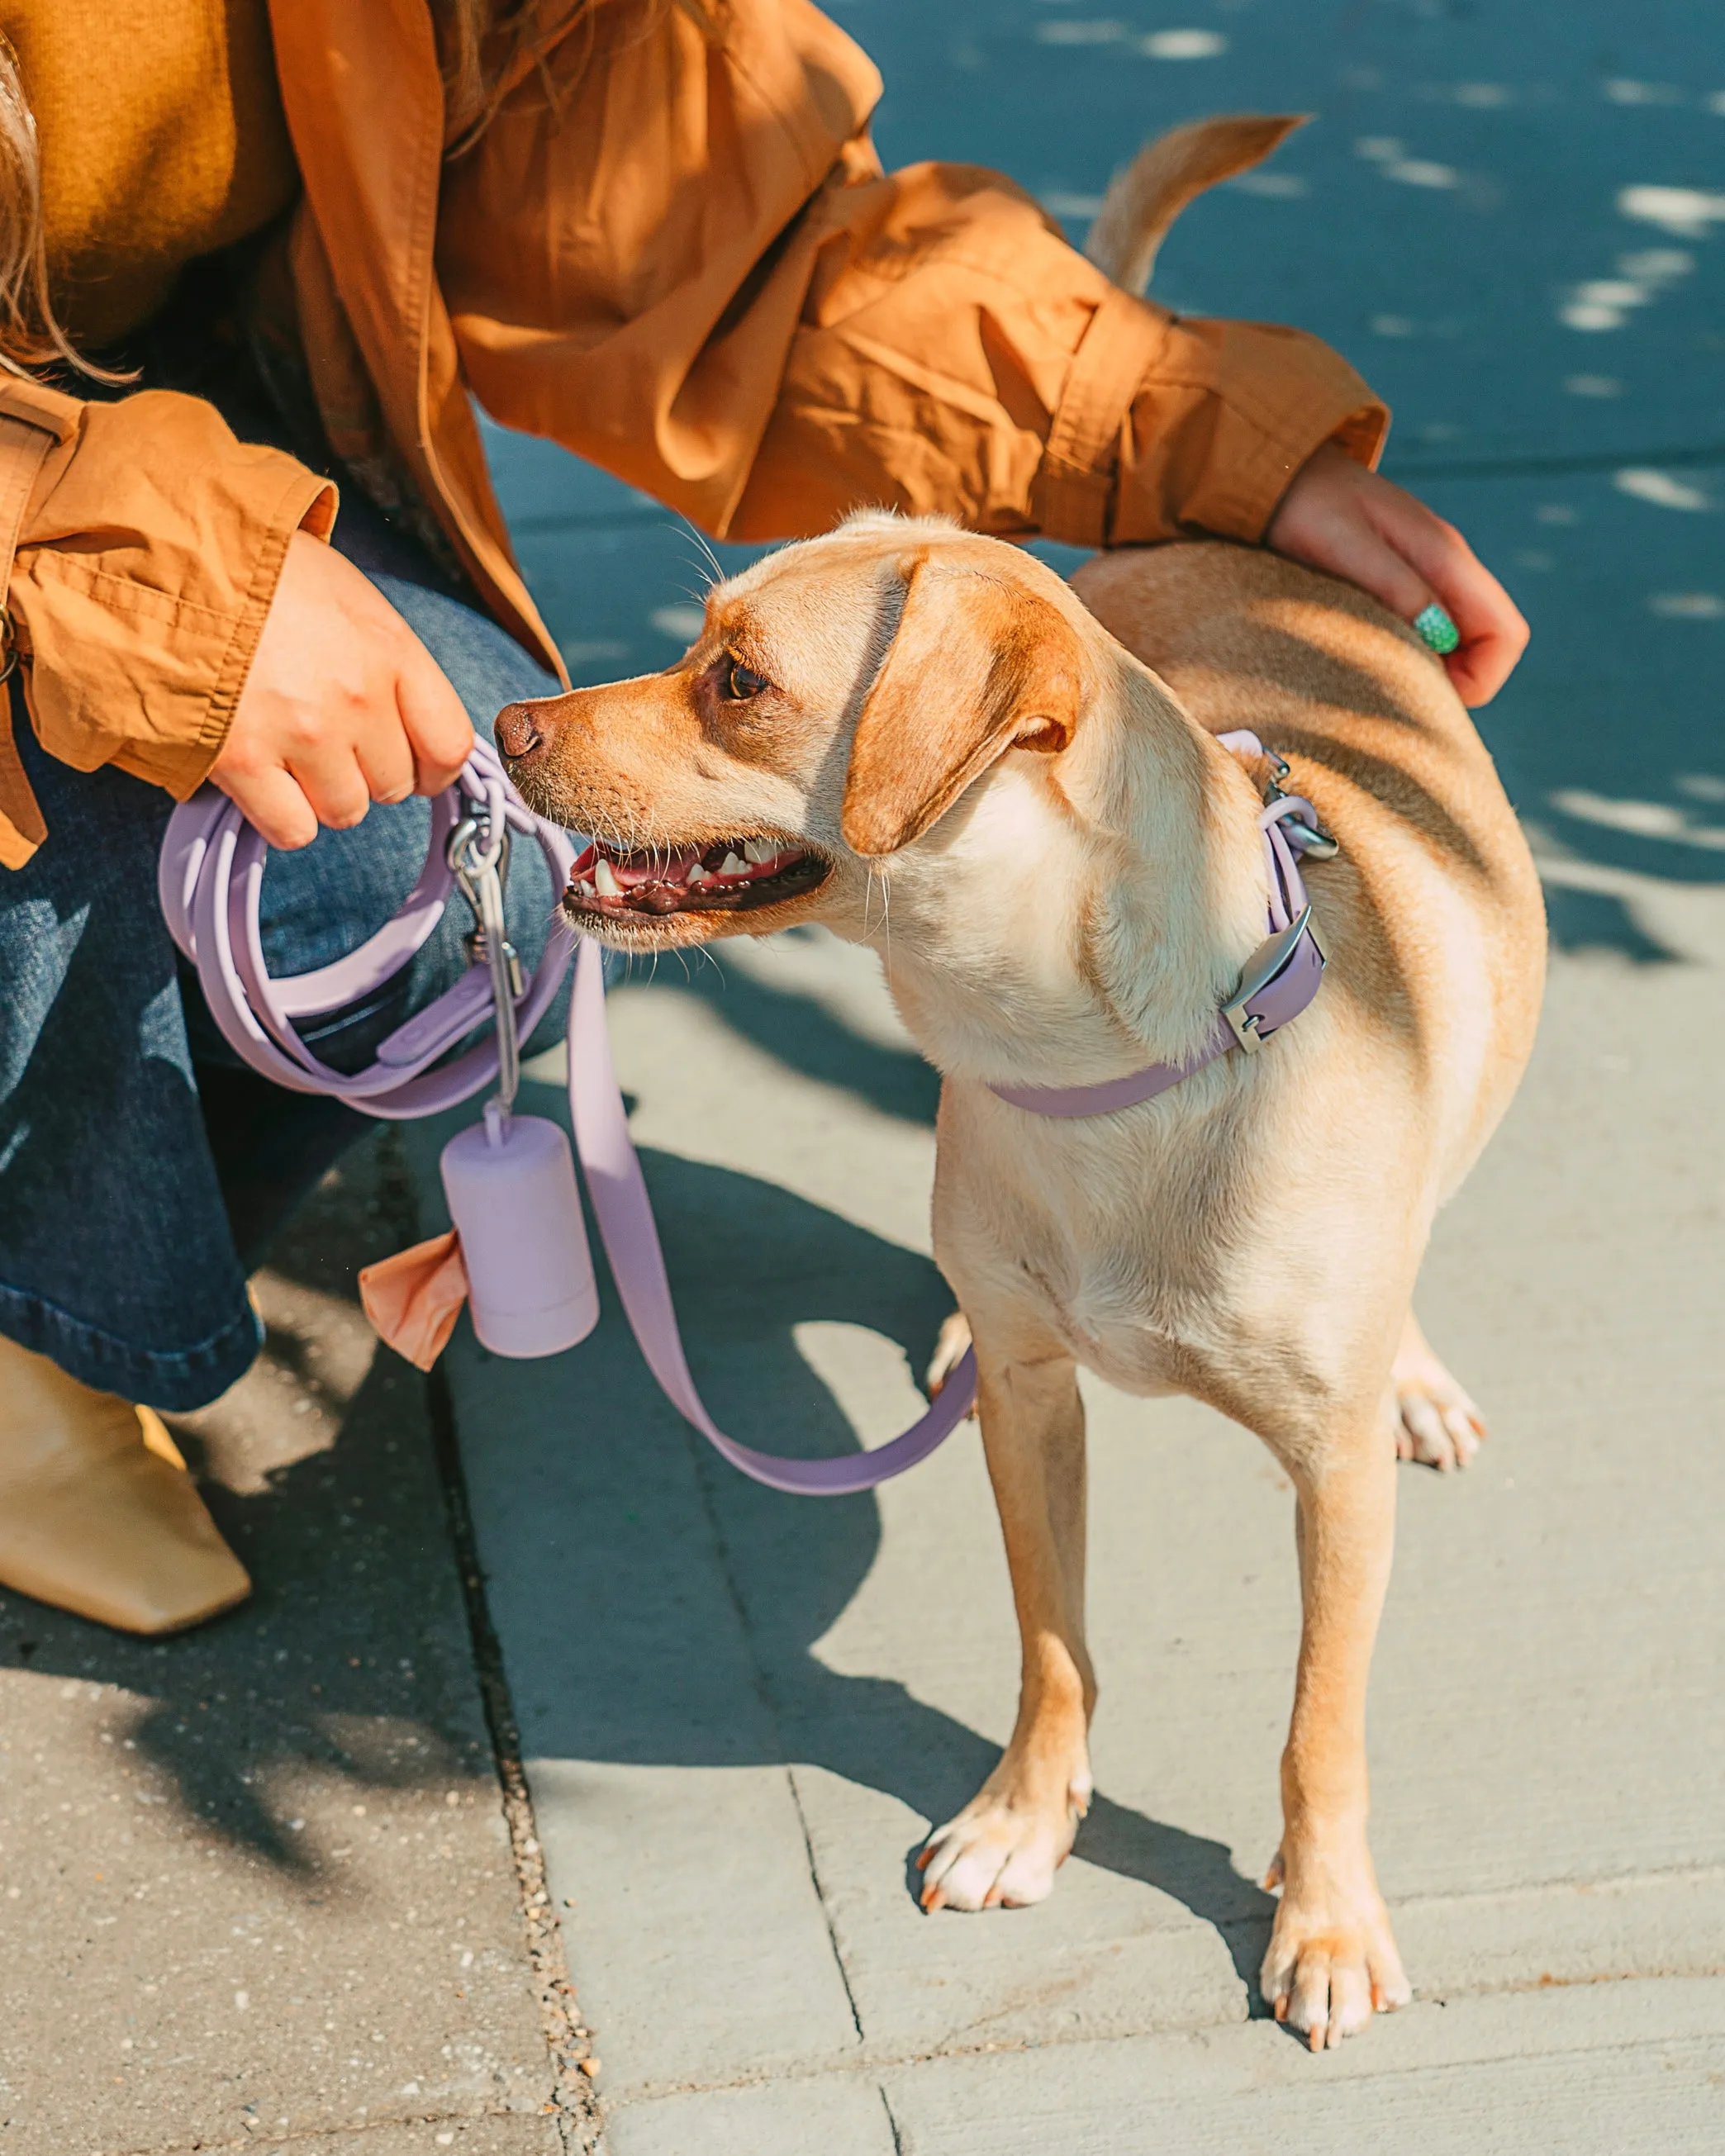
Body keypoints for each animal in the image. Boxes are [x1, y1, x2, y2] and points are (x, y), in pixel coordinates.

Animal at [492, 122, 1543, 2052]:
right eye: (695, 645)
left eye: (735, 680)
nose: (507, 731)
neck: (1097, 1078)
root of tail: (1215, 528)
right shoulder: (1038, 1417)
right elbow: (1053, 1643)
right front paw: (1024, 1820)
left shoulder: (1329, 1490)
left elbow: (1319, 1727)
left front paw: (1325, 1919)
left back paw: (1420, 1369)